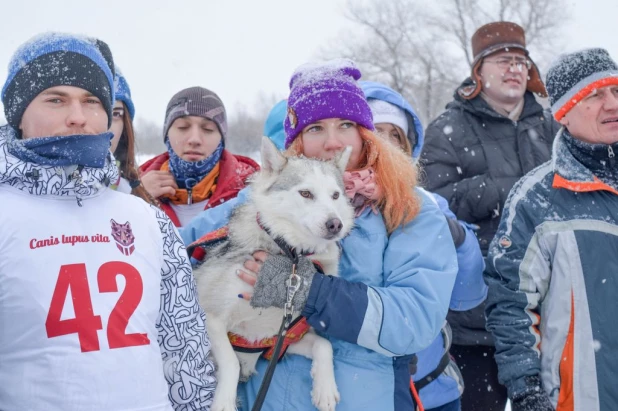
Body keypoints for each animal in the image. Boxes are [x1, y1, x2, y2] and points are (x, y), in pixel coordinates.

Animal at [195, 138, 354, 411]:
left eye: (335, 195)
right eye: (305, 193)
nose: (335, 224)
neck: (290, 254)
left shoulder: (283, 341)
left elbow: (324, 345)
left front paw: (324, 388)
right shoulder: (212, 318)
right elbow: (231, 361)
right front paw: (225, 402)